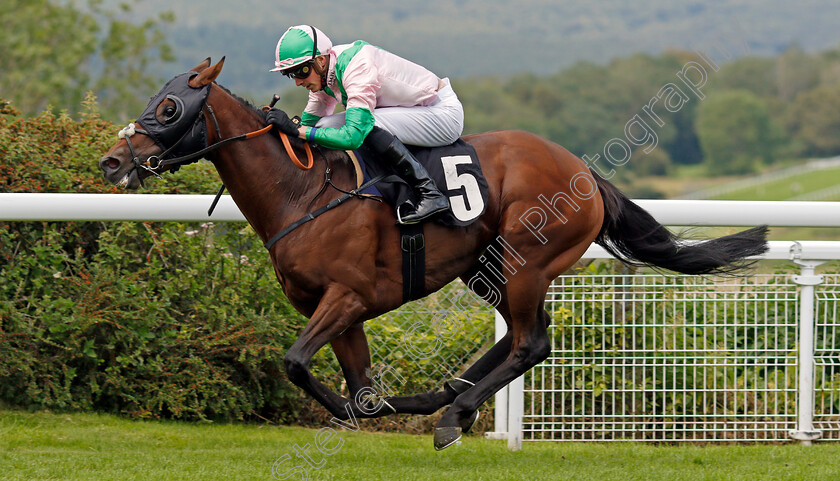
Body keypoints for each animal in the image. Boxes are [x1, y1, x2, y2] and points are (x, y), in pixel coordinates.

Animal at [97, 58, 768, 448]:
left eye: (168, 108)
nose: (111, 160)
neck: (302, 192)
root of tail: (582, 169)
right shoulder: (337, 308)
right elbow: (359, 387)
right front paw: (381, 405)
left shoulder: (349, 296)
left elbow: (299, 365)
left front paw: (374, 410)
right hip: (487, 268)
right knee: (514, 338)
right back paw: (449, 400)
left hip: (527, 261)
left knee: (531, 342)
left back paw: (454, 413)